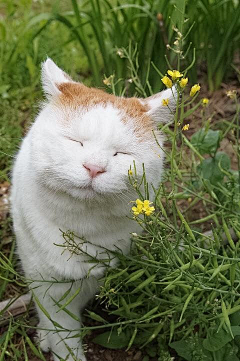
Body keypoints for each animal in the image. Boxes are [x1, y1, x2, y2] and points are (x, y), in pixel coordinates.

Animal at [10, 57, 174, 358]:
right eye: (76, 142)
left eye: (121, 153)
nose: (95, 167)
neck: (82, 223)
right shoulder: (46, 283)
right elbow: (62, 331)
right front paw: (60, 346)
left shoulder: (99, 274)